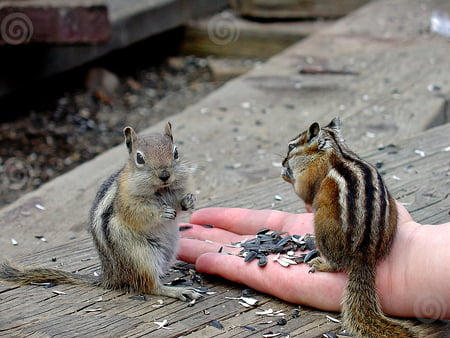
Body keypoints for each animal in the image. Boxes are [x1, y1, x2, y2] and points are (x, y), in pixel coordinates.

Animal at [0, 123, 200, 302]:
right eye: (140, 158)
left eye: (175, 152)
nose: (165, 175)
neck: (162, 189)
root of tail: (112, 276)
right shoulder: (127, 202)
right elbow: (140, 214)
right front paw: (162, 213)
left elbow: (180, 203)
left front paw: (188, 200)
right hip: (140, 257)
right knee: (149, 286)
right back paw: (177, 290)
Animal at [282, 117, 414, 336]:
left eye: (291, 146)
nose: (283, 163)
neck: (336, 150)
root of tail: (364, 255)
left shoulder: (311, 174)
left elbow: (304, 191)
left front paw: (287, 175)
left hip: (323, 229)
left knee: (336, 264)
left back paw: (321, 264)